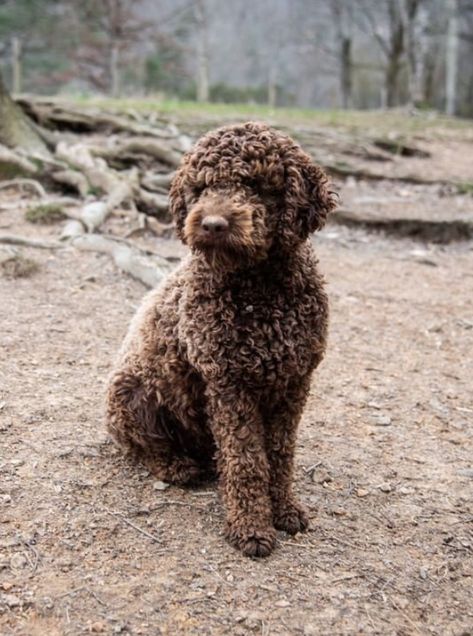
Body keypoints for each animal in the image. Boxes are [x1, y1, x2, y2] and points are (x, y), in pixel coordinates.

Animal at [107, 120, 336, 556]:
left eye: (256, 185)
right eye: (200, 188)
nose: (212, 224)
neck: (258, 289)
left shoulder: (294, 382)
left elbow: (278, 455)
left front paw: (284, 509)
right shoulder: (230, 386)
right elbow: (247, 462)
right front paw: (251, 528)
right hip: (132, 394)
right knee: (142, 448)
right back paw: (178, 466)